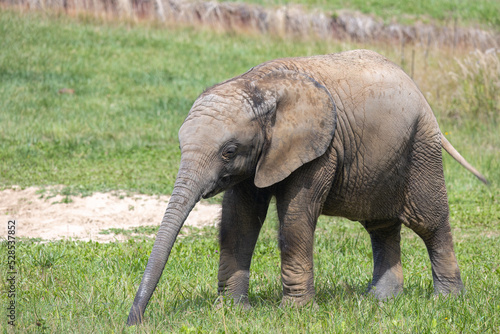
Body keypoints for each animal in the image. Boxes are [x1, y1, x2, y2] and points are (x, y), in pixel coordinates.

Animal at [126, 49, 488, 324]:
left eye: (228, 151)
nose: (134, 321)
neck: (260, 85)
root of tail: (418, 91)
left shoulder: (320, 149)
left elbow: (296, 218)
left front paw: (294, 313)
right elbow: (239, 220)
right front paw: (231, 311)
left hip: (421, 146)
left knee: (430, 222)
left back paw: (446, 300)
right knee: (381, 226)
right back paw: (380, 301)